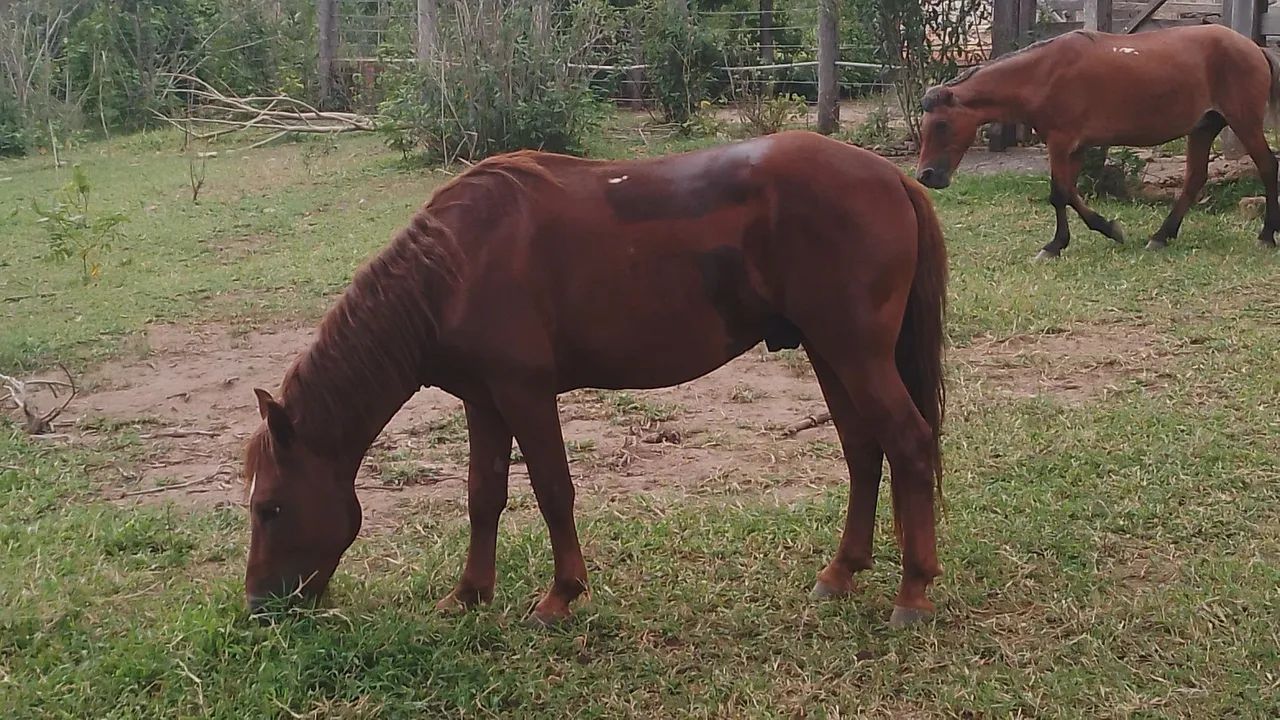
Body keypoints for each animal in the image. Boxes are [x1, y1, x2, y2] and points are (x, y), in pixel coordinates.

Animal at [241, 131, 949, 628]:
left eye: (269, 507)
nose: (258, 608)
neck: (454, 268)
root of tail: (892, 176)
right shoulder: (483, 402)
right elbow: (483, 496)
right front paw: (469, 594)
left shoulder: (525, 394)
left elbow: (554, 490)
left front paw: (560, 596)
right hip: (832, 355)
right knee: (864, 452)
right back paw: (841, 572)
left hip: (856, 355)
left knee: (910, 445)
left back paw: (914, 592)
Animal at [915, 24, 1280, 260]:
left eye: (942, 125)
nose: (926, 176)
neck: (1043, 73)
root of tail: (1255, 48)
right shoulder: (1074, 148)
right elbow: (1067, 193)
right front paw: (1070, 240)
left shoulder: (1061, 142)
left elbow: (1059, 194)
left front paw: (1087, 236)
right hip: (1203, 128)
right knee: (1194, 180)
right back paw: (1161, 237)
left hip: (1243, 123)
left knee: (1268, 167)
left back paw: (1265, 237)